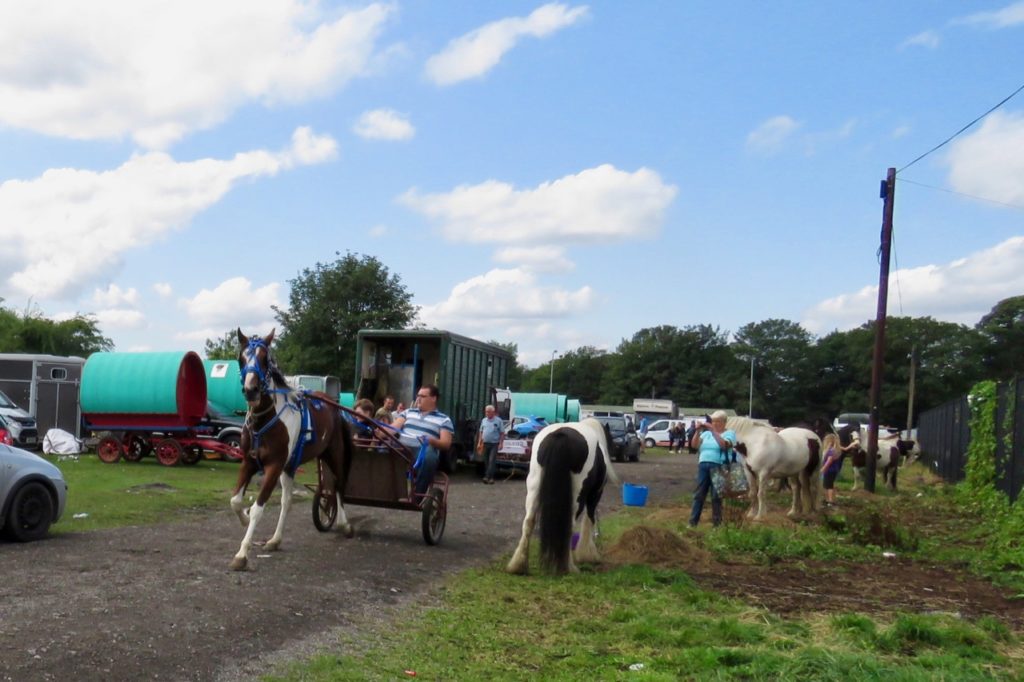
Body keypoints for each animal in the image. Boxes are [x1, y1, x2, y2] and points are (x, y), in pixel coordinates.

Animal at [228, 327, 356, 569]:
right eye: (241, 358)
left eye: (265, 359)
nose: (251, 390)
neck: (264, 421)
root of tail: (333, 405)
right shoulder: (249, 462)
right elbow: (236, 501)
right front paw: (244, 518)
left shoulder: (274, 465)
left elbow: (258, 508)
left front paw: (241, 553)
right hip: (291, 466)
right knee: (287, 501)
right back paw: (275, 540)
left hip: (334, 453)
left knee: (339, 485)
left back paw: (345, 524)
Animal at [507, 417, 618, 569]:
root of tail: (560, 435)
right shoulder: (595, 494)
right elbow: (589, 519)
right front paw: (588, 555)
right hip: (577, 496)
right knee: (569, 524)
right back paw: (569, 566)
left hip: (534, 488)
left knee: (528, 521)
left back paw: (518, 565)